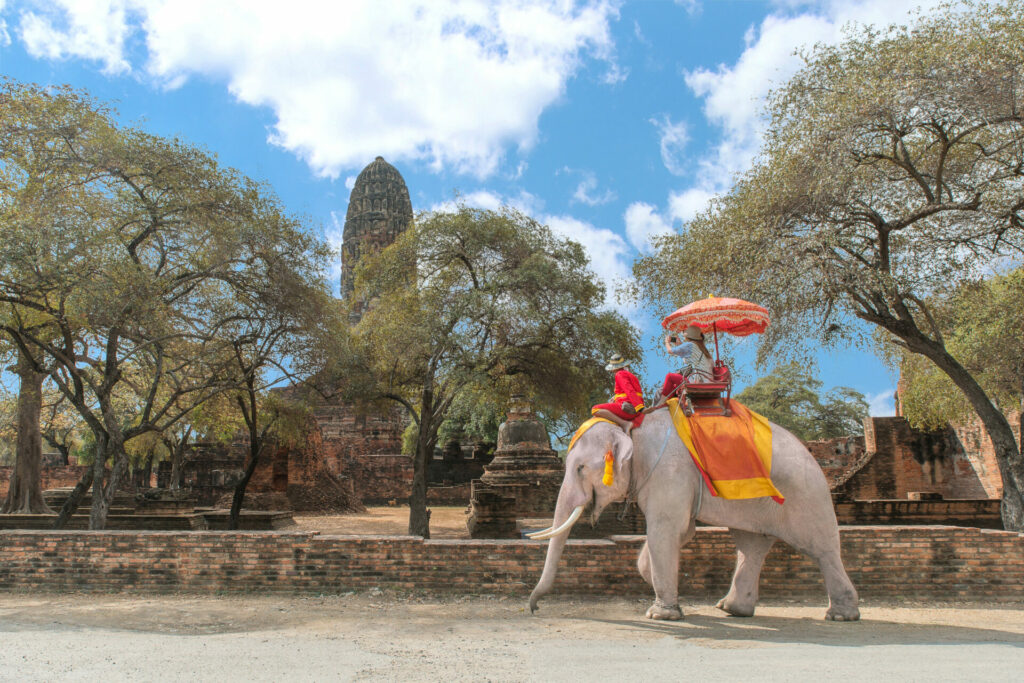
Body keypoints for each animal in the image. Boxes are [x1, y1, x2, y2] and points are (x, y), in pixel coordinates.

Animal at [532, 409, 860, 622]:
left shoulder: (669, 473)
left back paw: (841, 616)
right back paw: (731, 609)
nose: (534, 608)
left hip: (806, 497)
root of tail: (813, 457)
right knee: (751, 546)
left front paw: (661, 615)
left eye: (579, 468)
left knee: (822, 549)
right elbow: (678, 533)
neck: (629, 427)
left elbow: (665, 530)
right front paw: (673, 600)